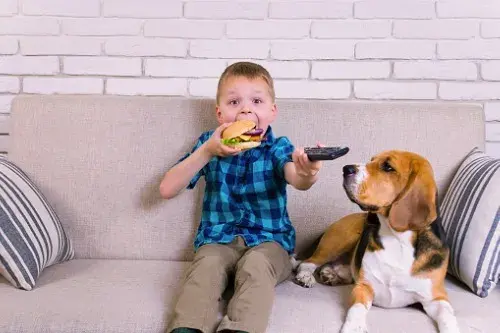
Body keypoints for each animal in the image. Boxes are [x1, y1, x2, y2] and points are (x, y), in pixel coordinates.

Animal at [292, 150, 460, 332]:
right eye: (371, 160)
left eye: (388, 167)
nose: (346, 169)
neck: (397, 240)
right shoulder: (364, 287)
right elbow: (357, 308)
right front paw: (354, 327)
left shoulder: (436, 298)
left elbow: (448, 316)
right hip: (339, 240)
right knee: (308, 262)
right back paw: (306, 276)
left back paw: (332, 274)